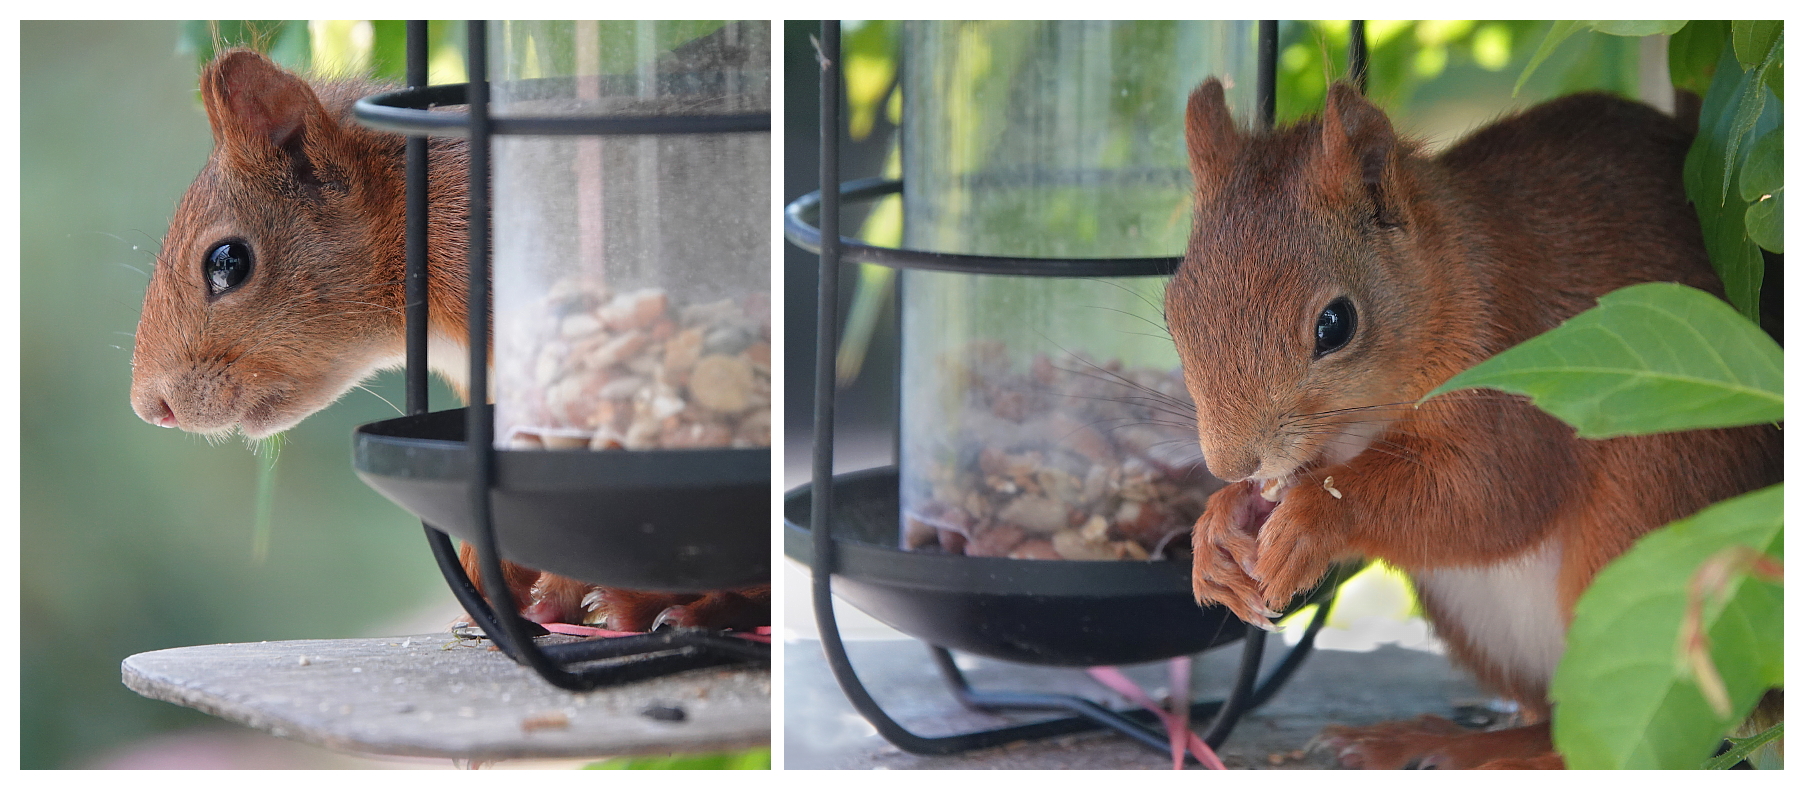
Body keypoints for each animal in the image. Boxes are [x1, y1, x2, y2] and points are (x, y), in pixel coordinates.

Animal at [1167, 81, 1772, 773]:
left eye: (1335, 324)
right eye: (1175, 312)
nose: (1232, 463)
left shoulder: (1515, 359)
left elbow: (1495, 496)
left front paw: (1311, 520)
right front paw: (1218, 530)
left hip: (1647, 523)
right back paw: (1428, 740)